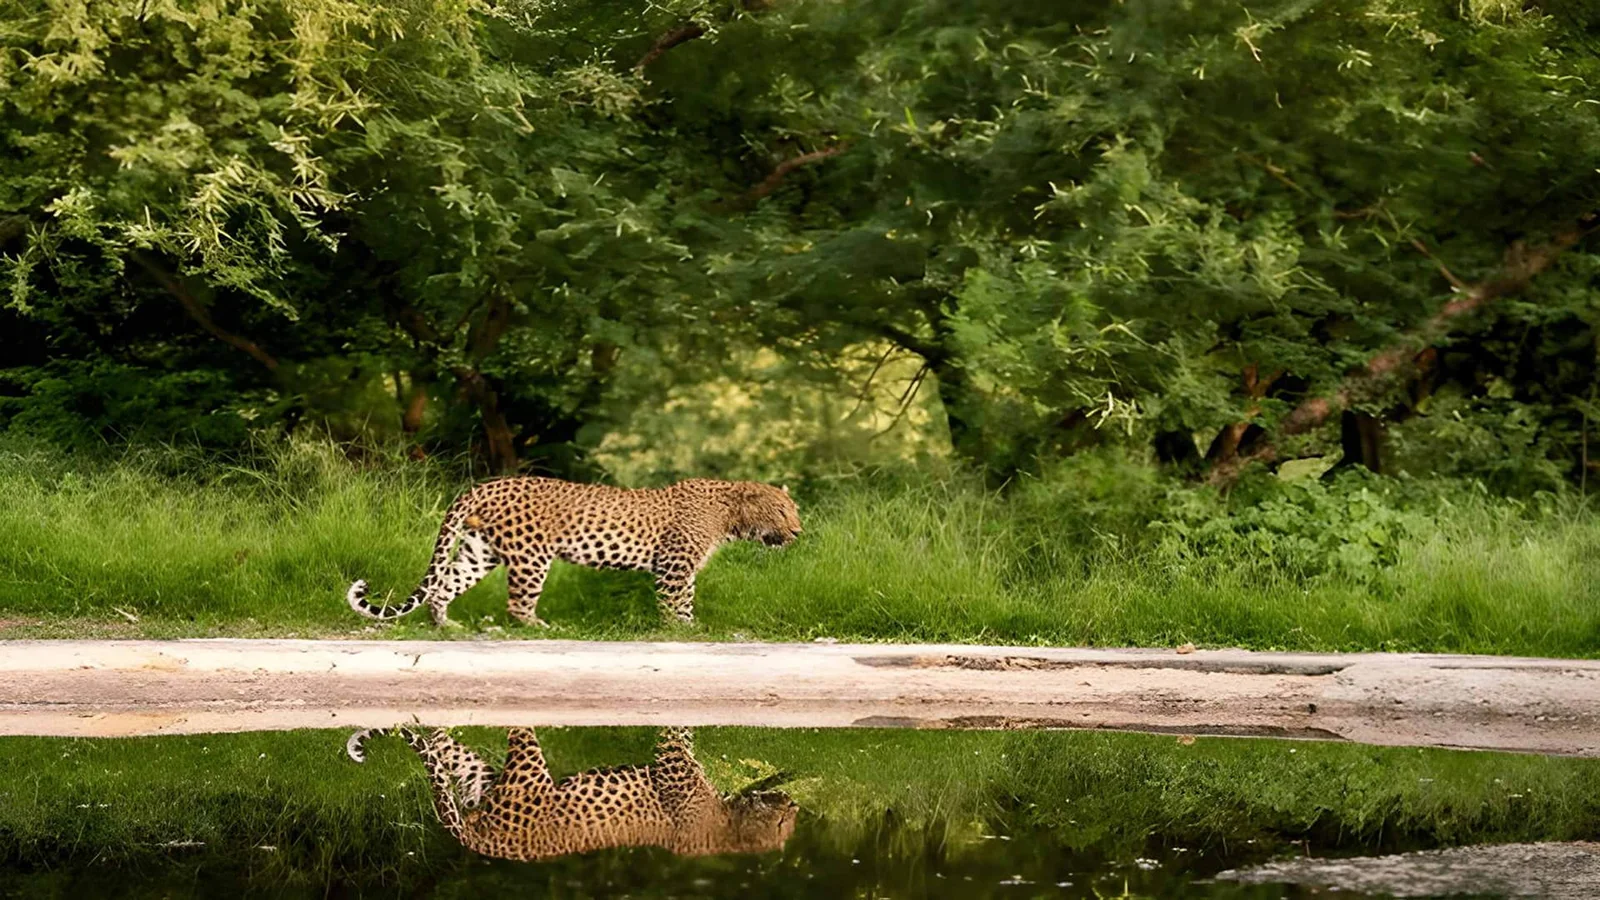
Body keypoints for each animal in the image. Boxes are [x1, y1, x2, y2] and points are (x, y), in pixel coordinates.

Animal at [345, 476, 802, 627]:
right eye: (782, 510)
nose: (798, 531)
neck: (730, 518)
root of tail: (486, 484)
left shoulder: (682, 568)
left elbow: (684, 599)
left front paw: (686, 626)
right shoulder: (675, 565)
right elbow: (676, 602)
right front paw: (683, 629)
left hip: (479, 550)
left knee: (444, 586)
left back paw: (446, 625)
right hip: (531, 555)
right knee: (517, 602)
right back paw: (538, 627)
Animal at [346, 725, 799, 861]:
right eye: (782, 823)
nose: (794, 806)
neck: (729, 833)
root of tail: (487, 845)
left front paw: (778, 778)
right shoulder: (674, 766)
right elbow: (680, 734)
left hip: (486, 778)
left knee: (449, 750)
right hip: (528, 766)